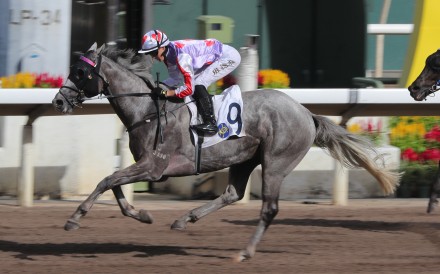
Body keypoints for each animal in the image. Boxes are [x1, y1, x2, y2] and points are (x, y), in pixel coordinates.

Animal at [51, 42, 398, 262]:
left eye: (79, 73)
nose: (57, 101)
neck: (147, 110)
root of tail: (306, 113)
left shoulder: (154, 166)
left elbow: (106, 181)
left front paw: (74, 219)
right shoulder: (146, 166)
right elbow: (115, 186)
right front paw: (143, 214)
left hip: (276, 162)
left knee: (269, 209)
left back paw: (245, 252)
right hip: (244, 159)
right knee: (232, 193)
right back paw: (185, 219)